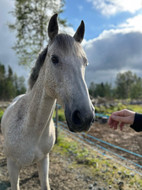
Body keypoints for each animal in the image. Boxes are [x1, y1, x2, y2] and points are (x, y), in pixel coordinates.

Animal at [1, 14, 95, 189]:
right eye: (54, 58)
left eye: (85, 62)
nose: (85, 117)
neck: (30, 128)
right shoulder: (13, 165)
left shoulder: (44, 160)